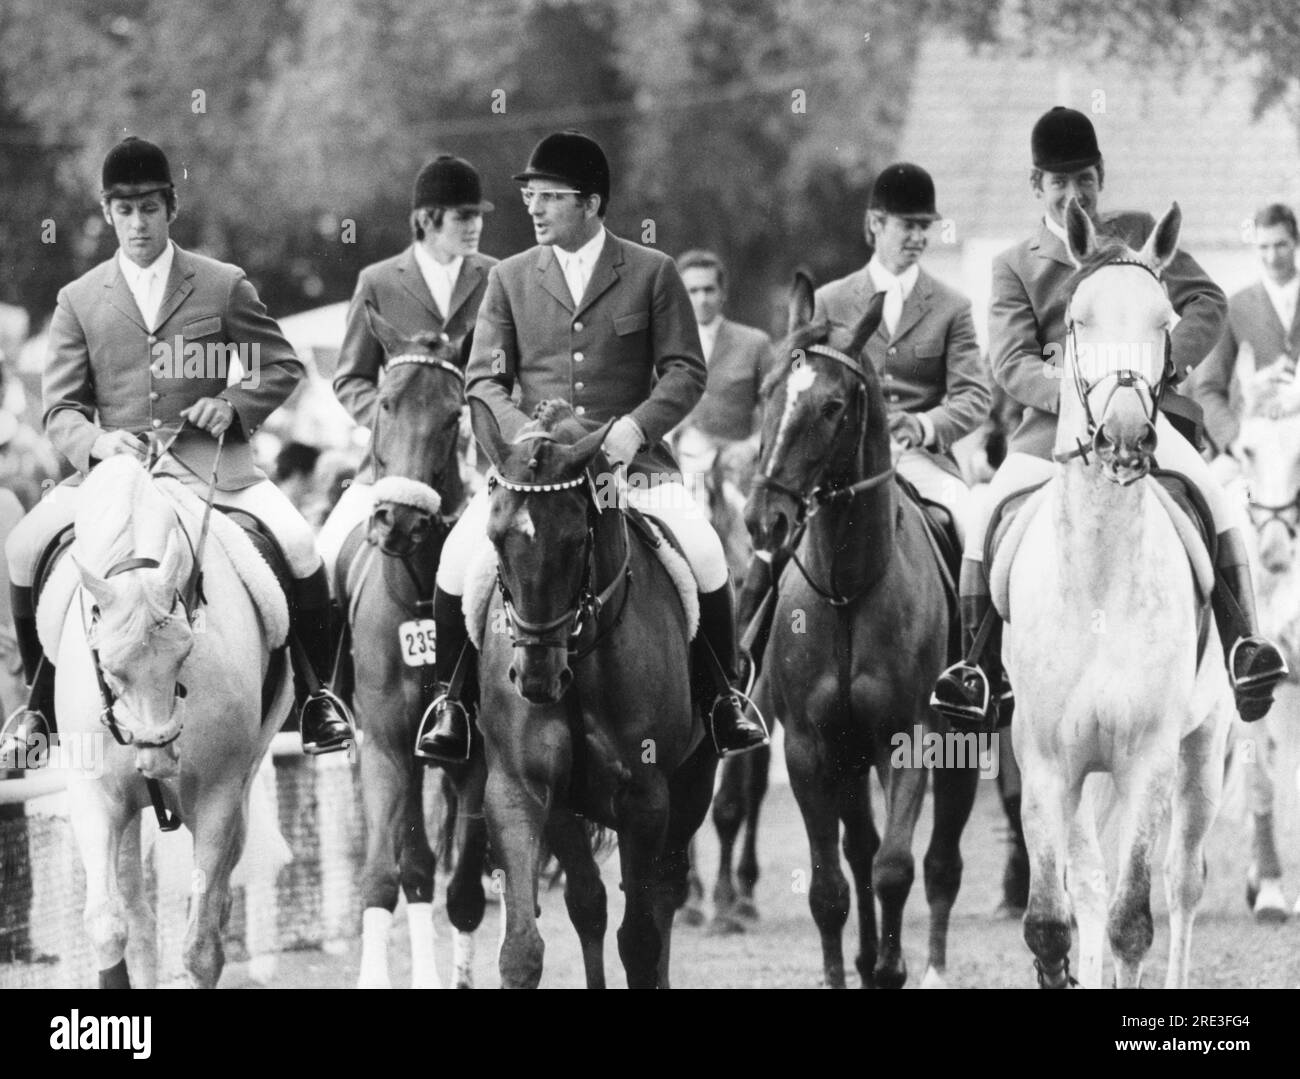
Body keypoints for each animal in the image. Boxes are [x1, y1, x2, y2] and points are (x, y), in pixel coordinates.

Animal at [53, 457, 292, 987]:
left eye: (185, 651)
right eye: (108, 664)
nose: (159, 758)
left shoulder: (218, 796)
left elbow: (202, 945)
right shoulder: (93, 795)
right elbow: (107, 924)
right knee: (138, 917)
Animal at [475, 400, 722, 987]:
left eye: (575, 542)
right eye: (496, 538)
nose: (536, 678)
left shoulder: (647, 798)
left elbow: (640, 940)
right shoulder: (520, 788)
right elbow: (524, 947)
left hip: (693, 783)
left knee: (663, 896)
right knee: (589, 903)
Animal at [743, 273, 977, 987]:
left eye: (832, 406)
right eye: (767, 392)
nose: (764, 520)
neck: (848, 587)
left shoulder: (911, 740)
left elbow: (896, 869)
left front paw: (892, 968)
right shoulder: (811, 749)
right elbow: (830, 886)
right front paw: (846, 968)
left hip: (962, 748)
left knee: (939, 864)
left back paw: (930, 967)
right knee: (859, 849)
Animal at [1008, 198, 1232, 993]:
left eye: (1165, 321)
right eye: (1078, 319)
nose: (1127, 437)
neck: (1098, 586)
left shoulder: (1149, 760)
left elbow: (1132, 921)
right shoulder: (1047, 763)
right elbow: (1053, 922)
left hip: (1204, 751)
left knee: (1182, 882)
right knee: (1090, 884)